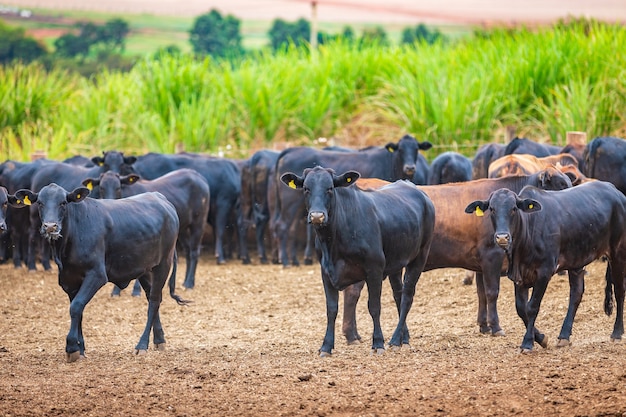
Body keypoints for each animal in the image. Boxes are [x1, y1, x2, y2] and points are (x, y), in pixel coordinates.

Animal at [83, 167, 211, 290]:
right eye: (101, 188)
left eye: (118, 187)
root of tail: (197, 175)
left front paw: (135, 290)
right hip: (183, 230)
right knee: (188, 251)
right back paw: (185, 281)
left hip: (198, 222)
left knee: (194, 251)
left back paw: (189, 283)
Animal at [270, 135, 432, 268]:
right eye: (400, 149)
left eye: (416, 149)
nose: (410, 167)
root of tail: (291, 150)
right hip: (290, 203)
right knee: (282, 226)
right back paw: (285, 261)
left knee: (289, 228)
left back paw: (292, 260)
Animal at [280, 167, 434, 356]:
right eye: (306, 189)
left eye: (330, 188)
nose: (317, 216)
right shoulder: (325, 272)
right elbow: (332, 309)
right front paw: (326, 346)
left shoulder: (374, 269)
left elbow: (374, 306)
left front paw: (378, 343)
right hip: (396, 263)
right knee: (398, 294)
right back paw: (403, 338)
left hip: (420, 256)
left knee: (407, 296)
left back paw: (394, 338)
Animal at [464, 181, 624, 352]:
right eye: (492, 209)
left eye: (514, 208)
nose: (502, 237)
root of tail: (615, 191)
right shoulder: (518, 276)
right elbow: (521, 308)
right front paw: (540, 338)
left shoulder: (544, 272)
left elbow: (532, 307)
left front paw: (528, 342)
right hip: (577, 261)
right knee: (576, 294)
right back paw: (564, 336)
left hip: (618, 253)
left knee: (619, 291)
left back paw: (617, 332)